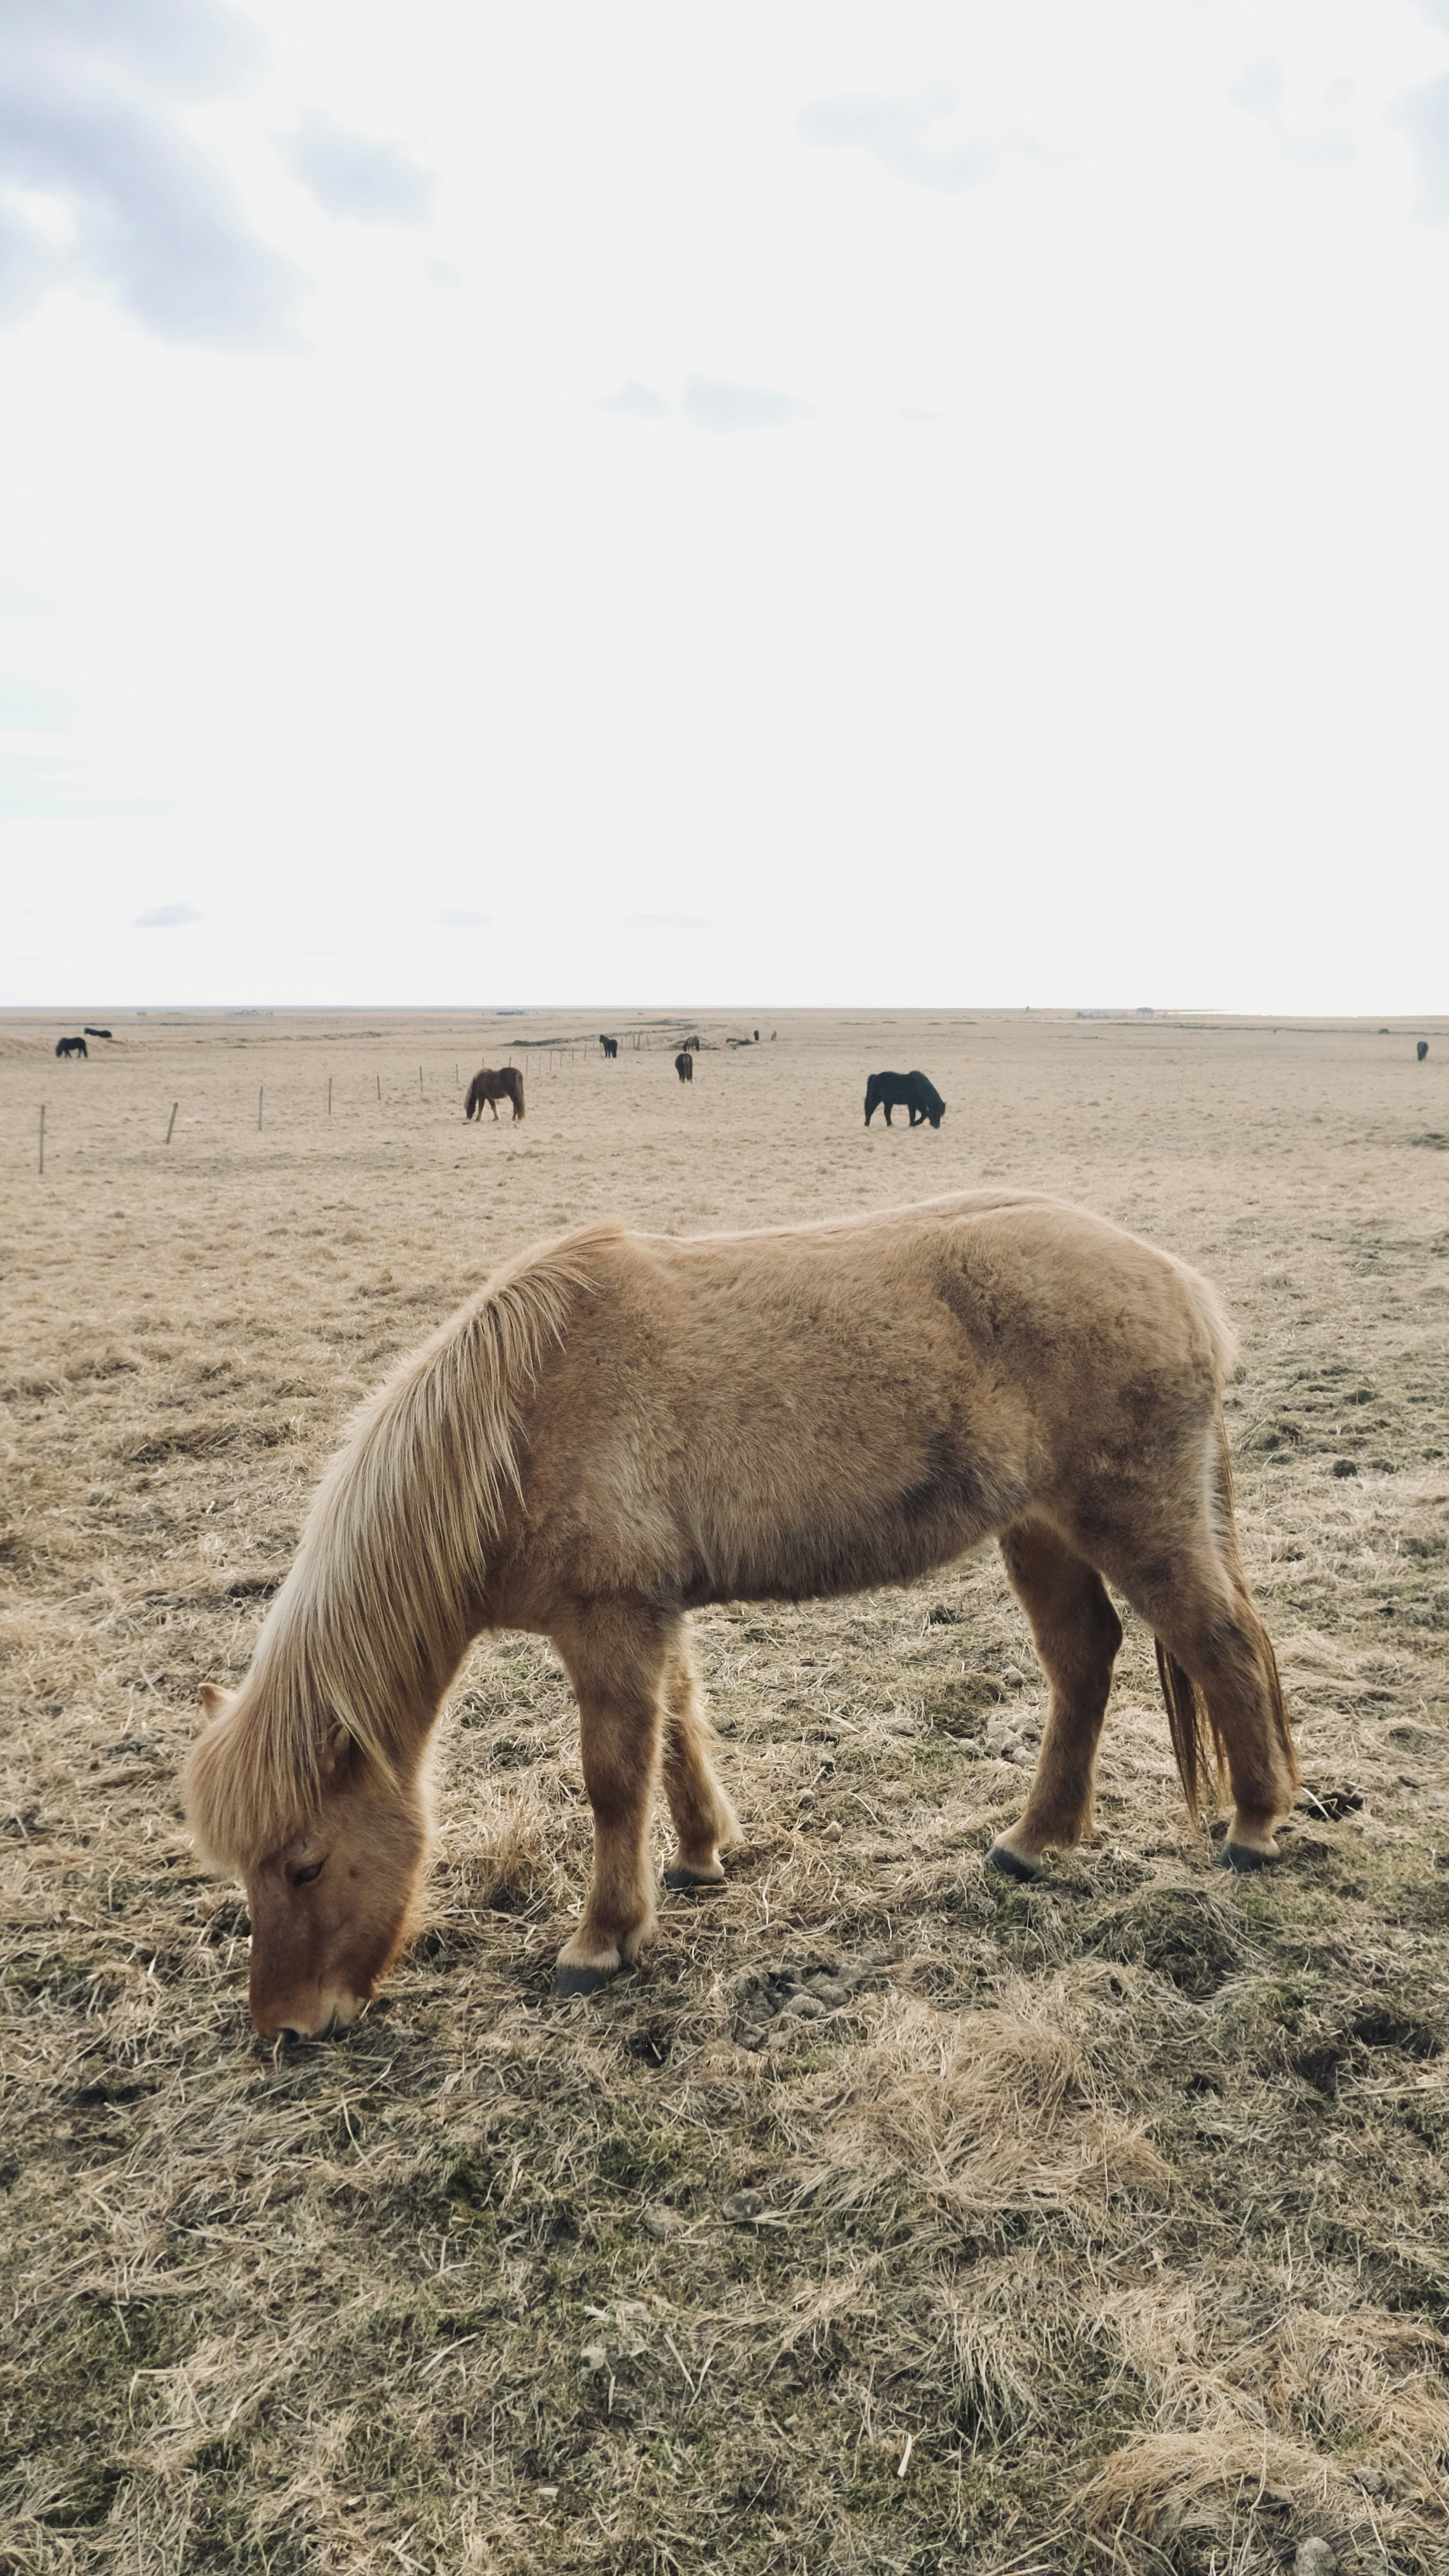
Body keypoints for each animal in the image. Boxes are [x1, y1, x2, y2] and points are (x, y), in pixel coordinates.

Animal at [185, 1191, 1295, 2039]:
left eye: (303, 1864)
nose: (286, 2029)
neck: (519, 1417)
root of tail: (1180, 1287)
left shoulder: (608, 1625)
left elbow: (613, 1780)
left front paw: (600, 1941)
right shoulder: (650, 1620)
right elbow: (678, 1736)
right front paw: (697, 1859)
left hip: (1137, 1525)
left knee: (1222, 1649)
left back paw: (1252, 1827)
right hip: (1040, 1532)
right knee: (1083, 1659)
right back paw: (1033, 1840)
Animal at [865, 1070, 945, 1129]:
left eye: (941, 1114)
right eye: (935, 1113)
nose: (937, 1126)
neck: (919, 1087)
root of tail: (875, 1076)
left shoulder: (920, 1105)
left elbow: (924, 1114)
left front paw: (916, 1123)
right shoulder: (912, 1104)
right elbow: (913, 1115)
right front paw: (912, 1125)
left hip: (888, 1102)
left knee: (887, 1113)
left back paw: (890, 1125)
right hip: (876, 1099)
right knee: (870, 1110)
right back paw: (867, 1124)